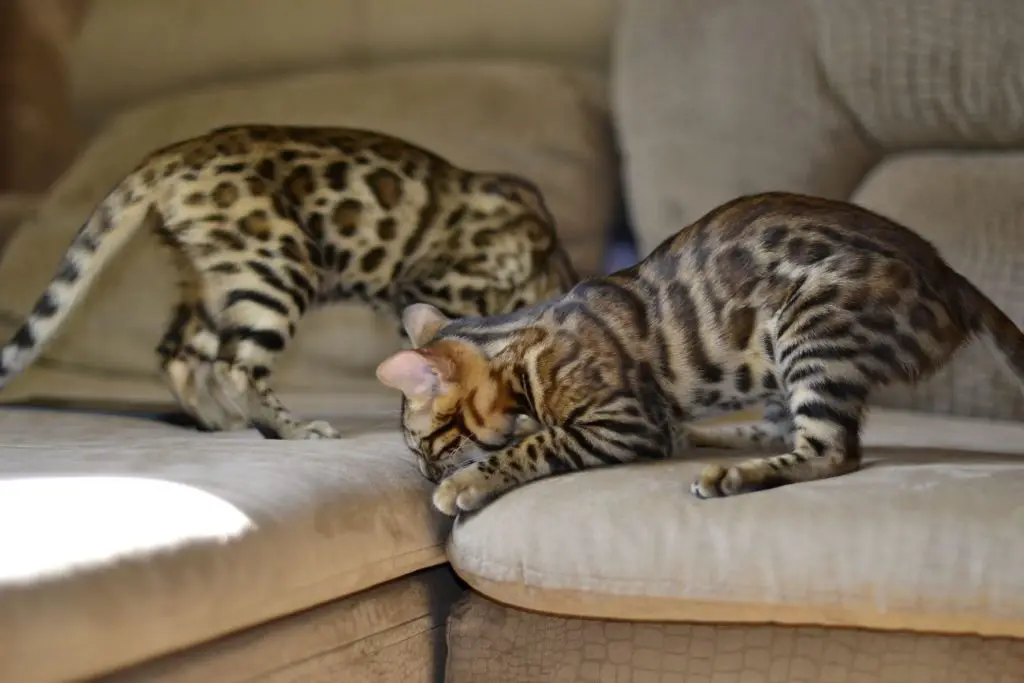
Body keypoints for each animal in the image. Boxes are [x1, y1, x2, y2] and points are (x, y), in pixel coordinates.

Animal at [0, 125, 577, 440]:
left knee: (178, 353)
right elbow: (441, 362)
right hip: (276, 267)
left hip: (214, 281)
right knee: (235, 366)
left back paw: (222, 422)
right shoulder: (430, 288)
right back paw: (292, 429)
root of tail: (177, 151)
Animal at [376, 189, 1024, 516]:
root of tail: (948, 277)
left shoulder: (624, 421)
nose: (426, 473)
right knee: (781, 429)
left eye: (426, 445)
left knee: (832, 451)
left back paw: (732, 475)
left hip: (810, 327)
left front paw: (468, 481)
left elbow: (538, 443)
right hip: (777, 359)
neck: (521, 347)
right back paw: (706, 437)